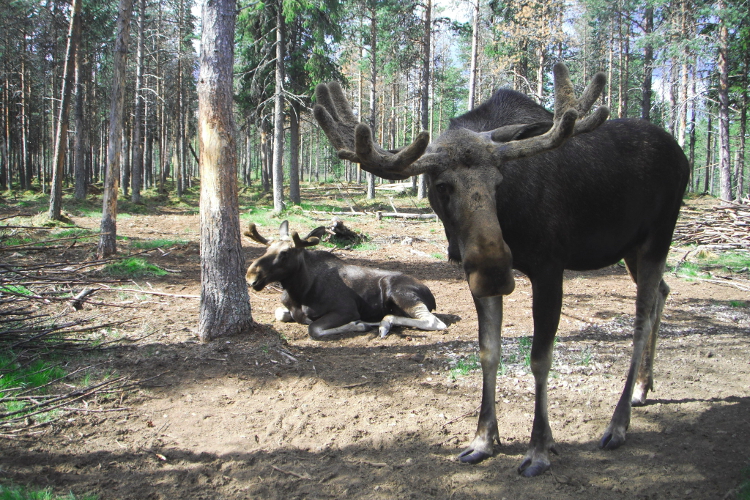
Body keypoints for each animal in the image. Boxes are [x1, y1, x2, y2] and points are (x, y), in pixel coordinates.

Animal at [245, 221, 446, 338]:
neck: (299, 291)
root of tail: (431, 296)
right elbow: (280, 313)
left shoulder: (346, 310)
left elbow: (314, 329)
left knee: (434, 322)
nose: (251, 276)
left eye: (285, 253)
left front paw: (359, 325)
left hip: (399, 293)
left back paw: (384, 323)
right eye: (267, 249)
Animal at [314, 63, 692, 476]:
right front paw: (483, 439)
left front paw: (539, 448)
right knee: (662, 294)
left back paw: (619, 423)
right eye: (442, 185)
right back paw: (642, 388)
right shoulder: (474, 280)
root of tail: (683, 156)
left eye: (499, 181)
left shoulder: (549, 267)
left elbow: (540, 358)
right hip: (631, 249)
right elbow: (488, 350)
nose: (495, 271)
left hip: (658, 237)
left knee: (641, 318)